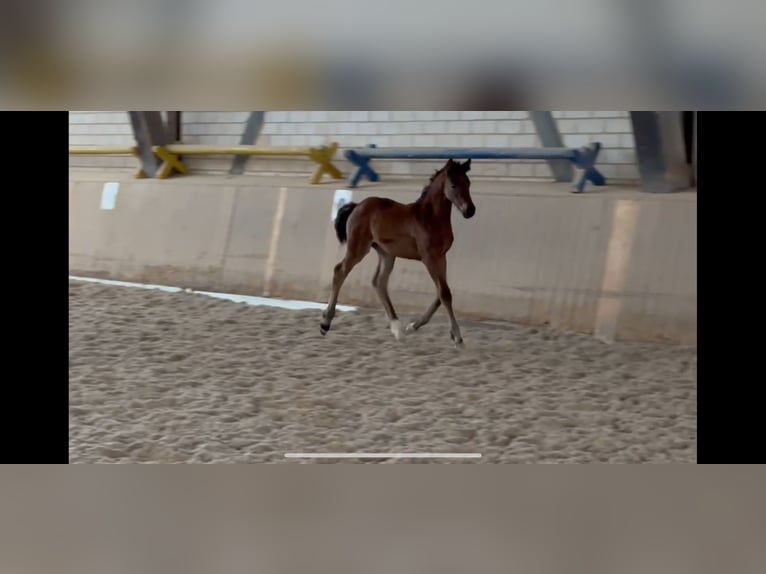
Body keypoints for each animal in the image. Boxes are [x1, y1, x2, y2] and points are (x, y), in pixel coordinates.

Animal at [320, 158, 476, 346]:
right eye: (453, 184)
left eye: (468, 183)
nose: (470, 210)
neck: (430, 217)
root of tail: (357, 206)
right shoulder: (429, 258)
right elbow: (444, 293)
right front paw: (458, 337)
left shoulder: (441, 257)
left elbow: (441, 293)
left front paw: (413, 326)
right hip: (358, 248)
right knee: (340, 271)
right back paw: (325, 323)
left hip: (386, 253)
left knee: (379, 282)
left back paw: (397, 328)